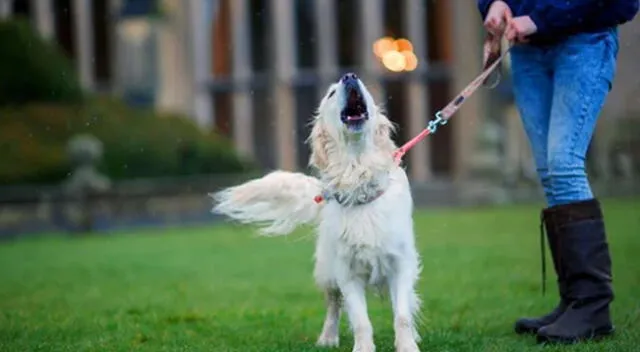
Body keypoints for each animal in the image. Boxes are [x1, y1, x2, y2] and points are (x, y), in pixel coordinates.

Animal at [210, 73, 422, 350]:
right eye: (331, 93)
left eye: (364, 86)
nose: (350, 76)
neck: (358, 177)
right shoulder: (347, 273)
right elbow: (360, 320)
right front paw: (363, 347)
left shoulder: (401, 264)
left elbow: (402, 316)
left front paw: (407, 345)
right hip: (327, 270)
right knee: (333, 305)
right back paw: (327, 339)